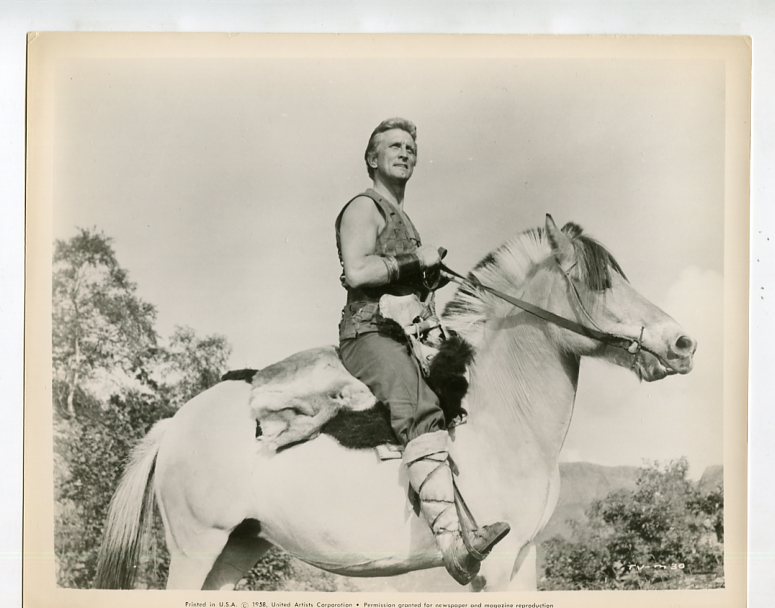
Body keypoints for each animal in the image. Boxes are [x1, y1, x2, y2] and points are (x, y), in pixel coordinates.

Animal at [95, 215, 696, 591]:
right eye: (599, 284)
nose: (683, 343)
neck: (500, 416)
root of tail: (175, 422)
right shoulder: (496, 566)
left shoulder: (524, 560)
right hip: (196, 546)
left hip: (234, 550)